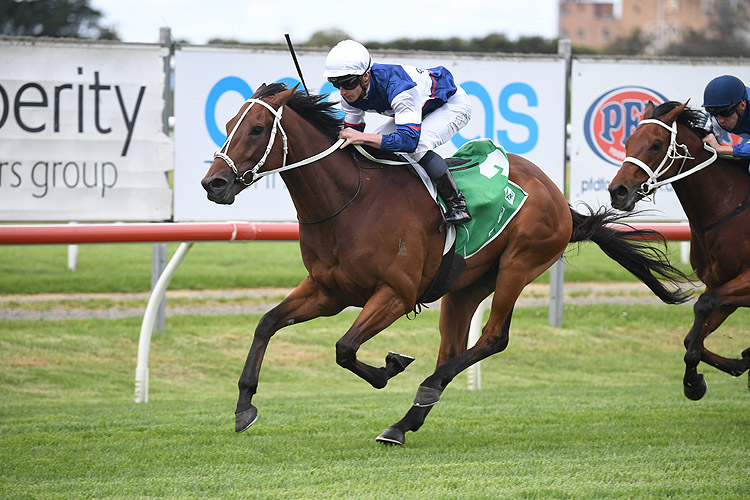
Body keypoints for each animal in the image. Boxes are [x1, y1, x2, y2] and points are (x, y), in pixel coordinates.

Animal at [203, 84, 692, 448]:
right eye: (228, 125)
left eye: (257, 128)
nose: (215, 183)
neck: (350, 201)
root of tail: (559, 198)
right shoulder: (329, 291)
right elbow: (268, 323)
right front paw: (244, 406)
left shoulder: (396, 295)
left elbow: (344, 348)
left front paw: (389, 366)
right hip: (464, 286)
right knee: (453, 349)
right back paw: (405, 422)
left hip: (519, 265)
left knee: (492, 338)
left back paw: (421, 392)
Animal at [612, 99, 750, 400]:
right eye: (628, 141)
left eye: (655, 145)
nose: (617, 191)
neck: (727, 207)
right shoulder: (722, 284)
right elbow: (692, 338)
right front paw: (708, 375)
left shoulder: (745, 282)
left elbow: (703, 304)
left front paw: (693, 382)